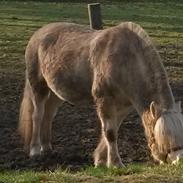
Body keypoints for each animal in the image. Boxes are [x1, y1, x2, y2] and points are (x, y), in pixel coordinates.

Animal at [18, 21, 183, 167]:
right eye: (163, 140)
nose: (178, 160)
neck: (125, 60)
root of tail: (38, 34)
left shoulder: (124, 106)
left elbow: (113, 130)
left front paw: (101, 160)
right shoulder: (105, 100)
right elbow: (110, 133)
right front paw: (115, 164)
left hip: (56, 93)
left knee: (48, 115)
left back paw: (46, 148)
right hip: (38, 87)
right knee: (37, 116)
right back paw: (35, 150)